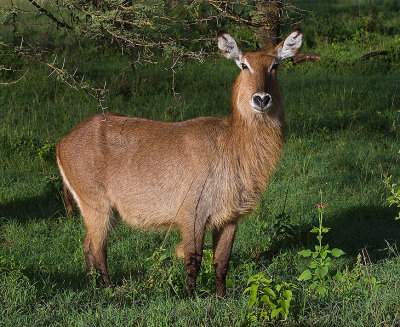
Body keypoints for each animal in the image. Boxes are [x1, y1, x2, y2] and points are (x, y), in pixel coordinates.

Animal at [55, 30, 300, 298]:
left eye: (275, 65)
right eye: (244, 65)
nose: (262, 99)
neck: (231, 143)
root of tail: (63, 141)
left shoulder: (229, 218)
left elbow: (222, 262)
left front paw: (222, 296)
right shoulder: (192, 214)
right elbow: (193, 259)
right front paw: (191, 297)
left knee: (88, 244)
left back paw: (94, 286)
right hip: (97, 207)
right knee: (97, 248)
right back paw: (108, 289)